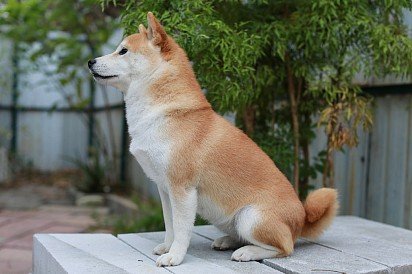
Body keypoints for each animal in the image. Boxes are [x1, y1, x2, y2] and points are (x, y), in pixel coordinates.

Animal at [89, 11, 338, 266]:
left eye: (123, 51)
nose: (90, 62)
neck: (165, 112)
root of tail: (302, 218)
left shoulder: (183, 190)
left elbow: (181, 230)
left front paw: (175, 256)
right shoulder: (164, 188)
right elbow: (170, 226)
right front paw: (167, 247)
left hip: (250, 217)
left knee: (285, 247)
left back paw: (248, 252)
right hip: (231, 219)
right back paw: (228, 241)